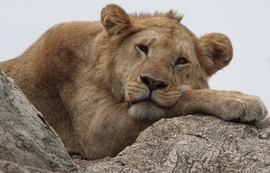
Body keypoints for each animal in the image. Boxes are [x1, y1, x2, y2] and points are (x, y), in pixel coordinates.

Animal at [0, 3, 266, 159]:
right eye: (143, 48)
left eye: (181, 61)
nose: (152, 82)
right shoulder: (96, 132)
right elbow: (184, 97)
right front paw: (238, 99)